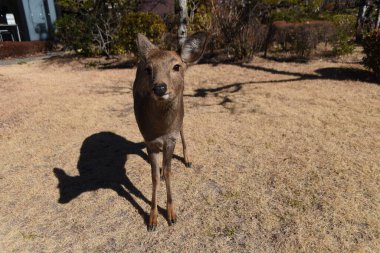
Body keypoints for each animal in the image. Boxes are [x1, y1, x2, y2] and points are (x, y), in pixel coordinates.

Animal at [132, 32, 206, 231]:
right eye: (148, 69)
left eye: (176, 66)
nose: (159, 87)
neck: (160, 129)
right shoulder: (149, 140)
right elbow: (154, 177)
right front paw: (152, 220)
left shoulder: (171, 139)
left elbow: (169, 171)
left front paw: (172, 215)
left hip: (182, 110)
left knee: (182, 129)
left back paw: (187, 160)